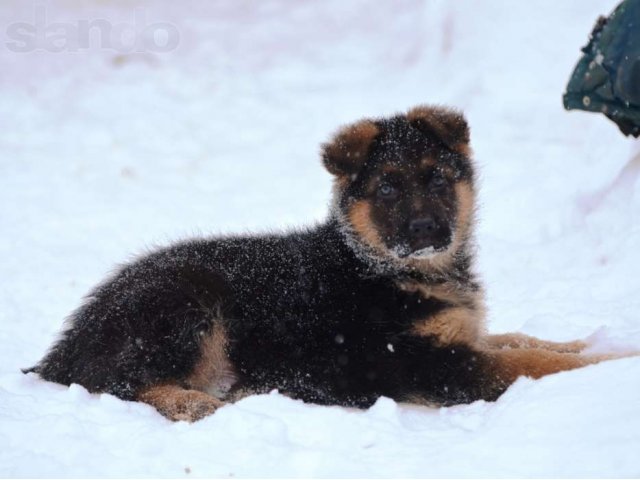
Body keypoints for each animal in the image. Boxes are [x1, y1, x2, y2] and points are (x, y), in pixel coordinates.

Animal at [28, 105, 608, 420]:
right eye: (388, 188)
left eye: (438, 178)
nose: (425, 231)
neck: (386, 268)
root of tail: (67, 347)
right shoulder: (430, 363)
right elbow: (528, 363)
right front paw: (605, 363)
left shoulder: (460, 337)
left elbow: (522, 340)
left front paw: (591, 341)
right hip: (188, 301)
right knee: (126, 384)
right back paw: (200, 403)